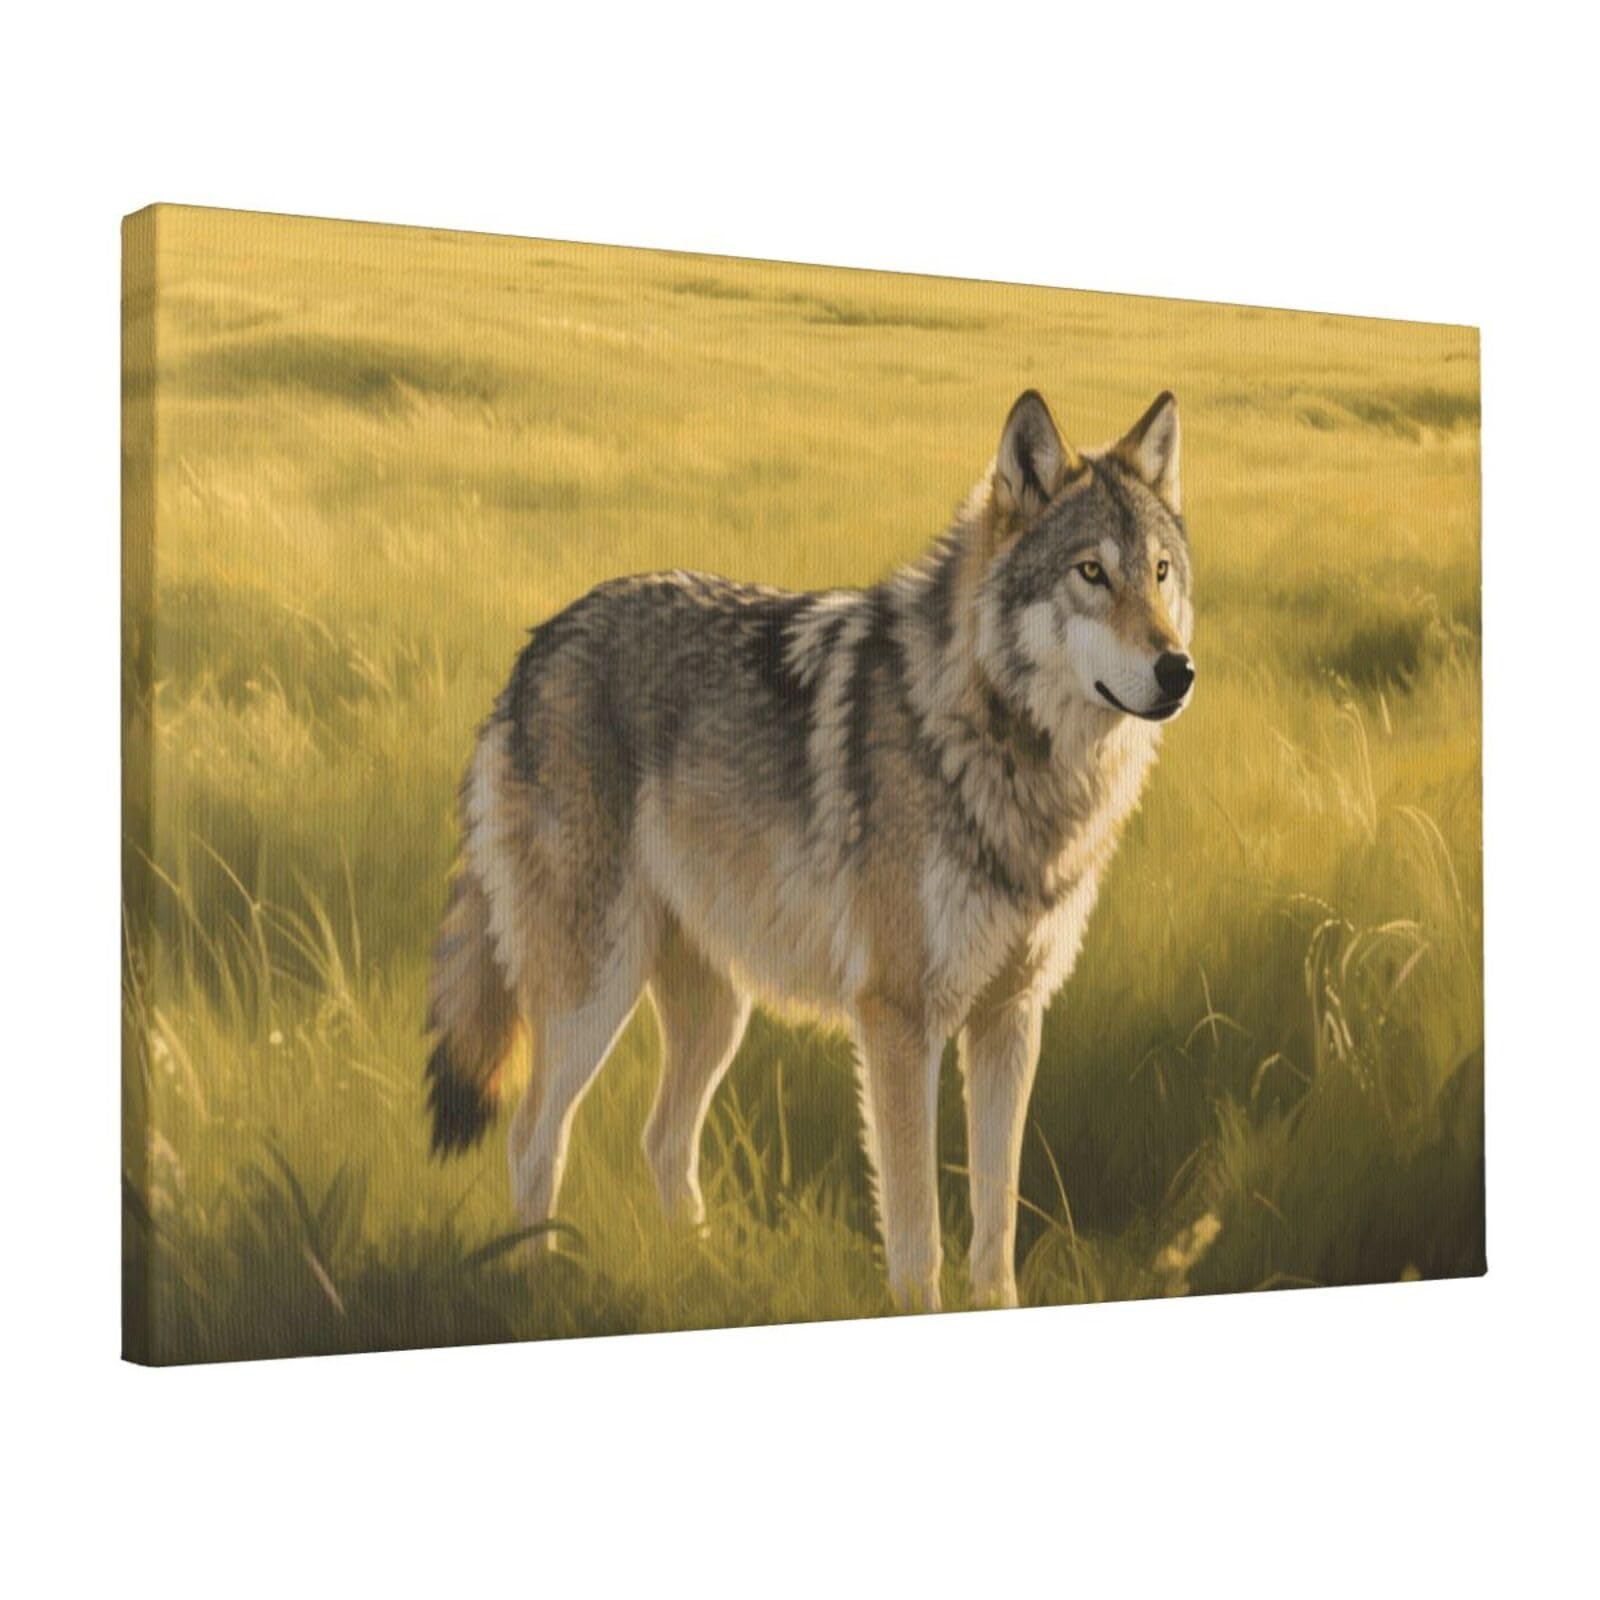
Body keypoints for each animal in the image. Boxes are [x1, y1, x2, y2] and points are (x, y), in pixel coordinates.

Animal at [425, 389, 1195, 1311]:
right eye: (1090, 573)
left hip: (717, 1015)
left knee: (661, 1139)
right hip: (592, 994)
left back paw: (706, 1276)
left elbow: (996, 1221)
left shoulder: (1011, 1018)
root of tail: (536, 648)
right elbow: (918, 1233)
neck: (1008, 756)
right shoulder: (899, 1021)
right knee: (534, 1136)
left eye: (1160, 573)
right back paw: (537, 1290)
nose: (1179, 669)